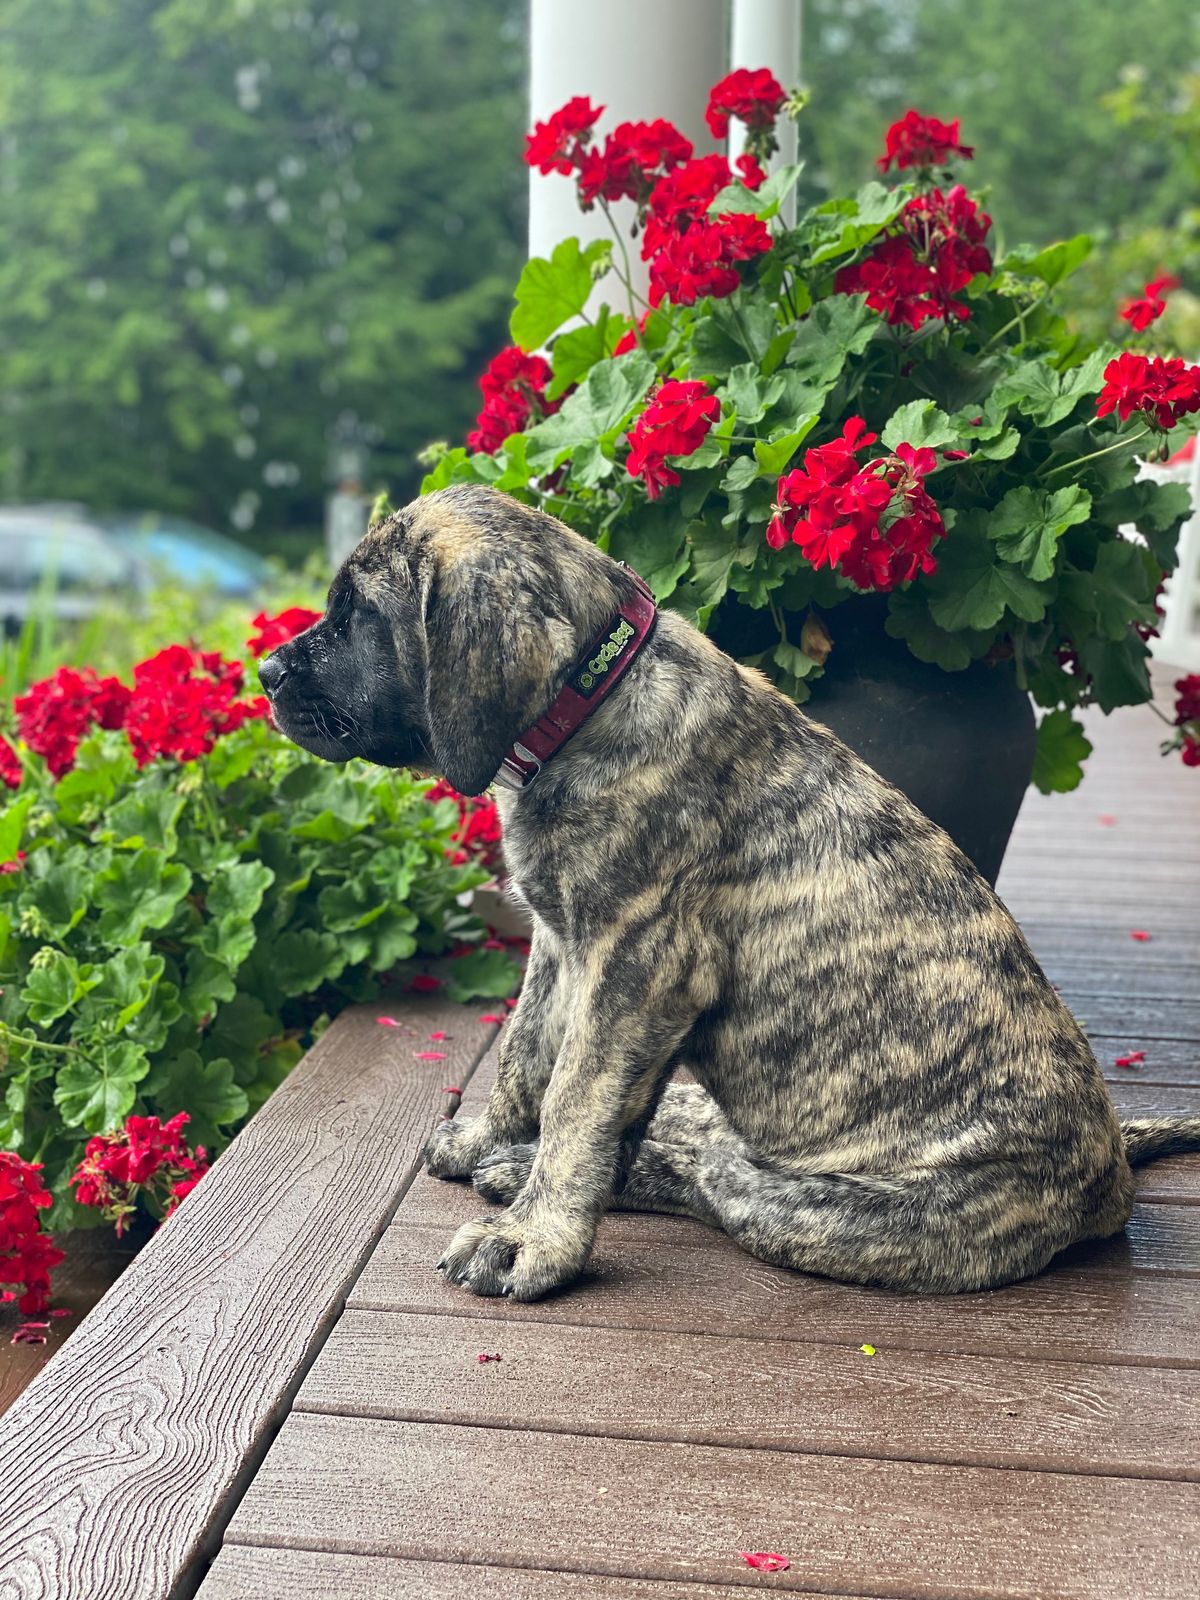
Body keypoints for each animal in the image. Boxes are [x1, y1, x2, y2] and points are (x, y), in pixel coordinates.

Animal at [260, 483, 1200, 1302]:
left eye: (358, 617)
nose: (267, 671)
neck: (591, 704)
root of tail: (1113, 1171)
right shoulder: (562, 946)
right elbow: (528, 1058)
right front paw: (495, 1137)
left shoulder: (637, 967)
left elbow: (576, 1100)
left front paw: (532, 1238)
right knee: (684, 1129)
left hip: (805, 1199)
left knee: (711, 1174)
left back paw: (544, 1177)